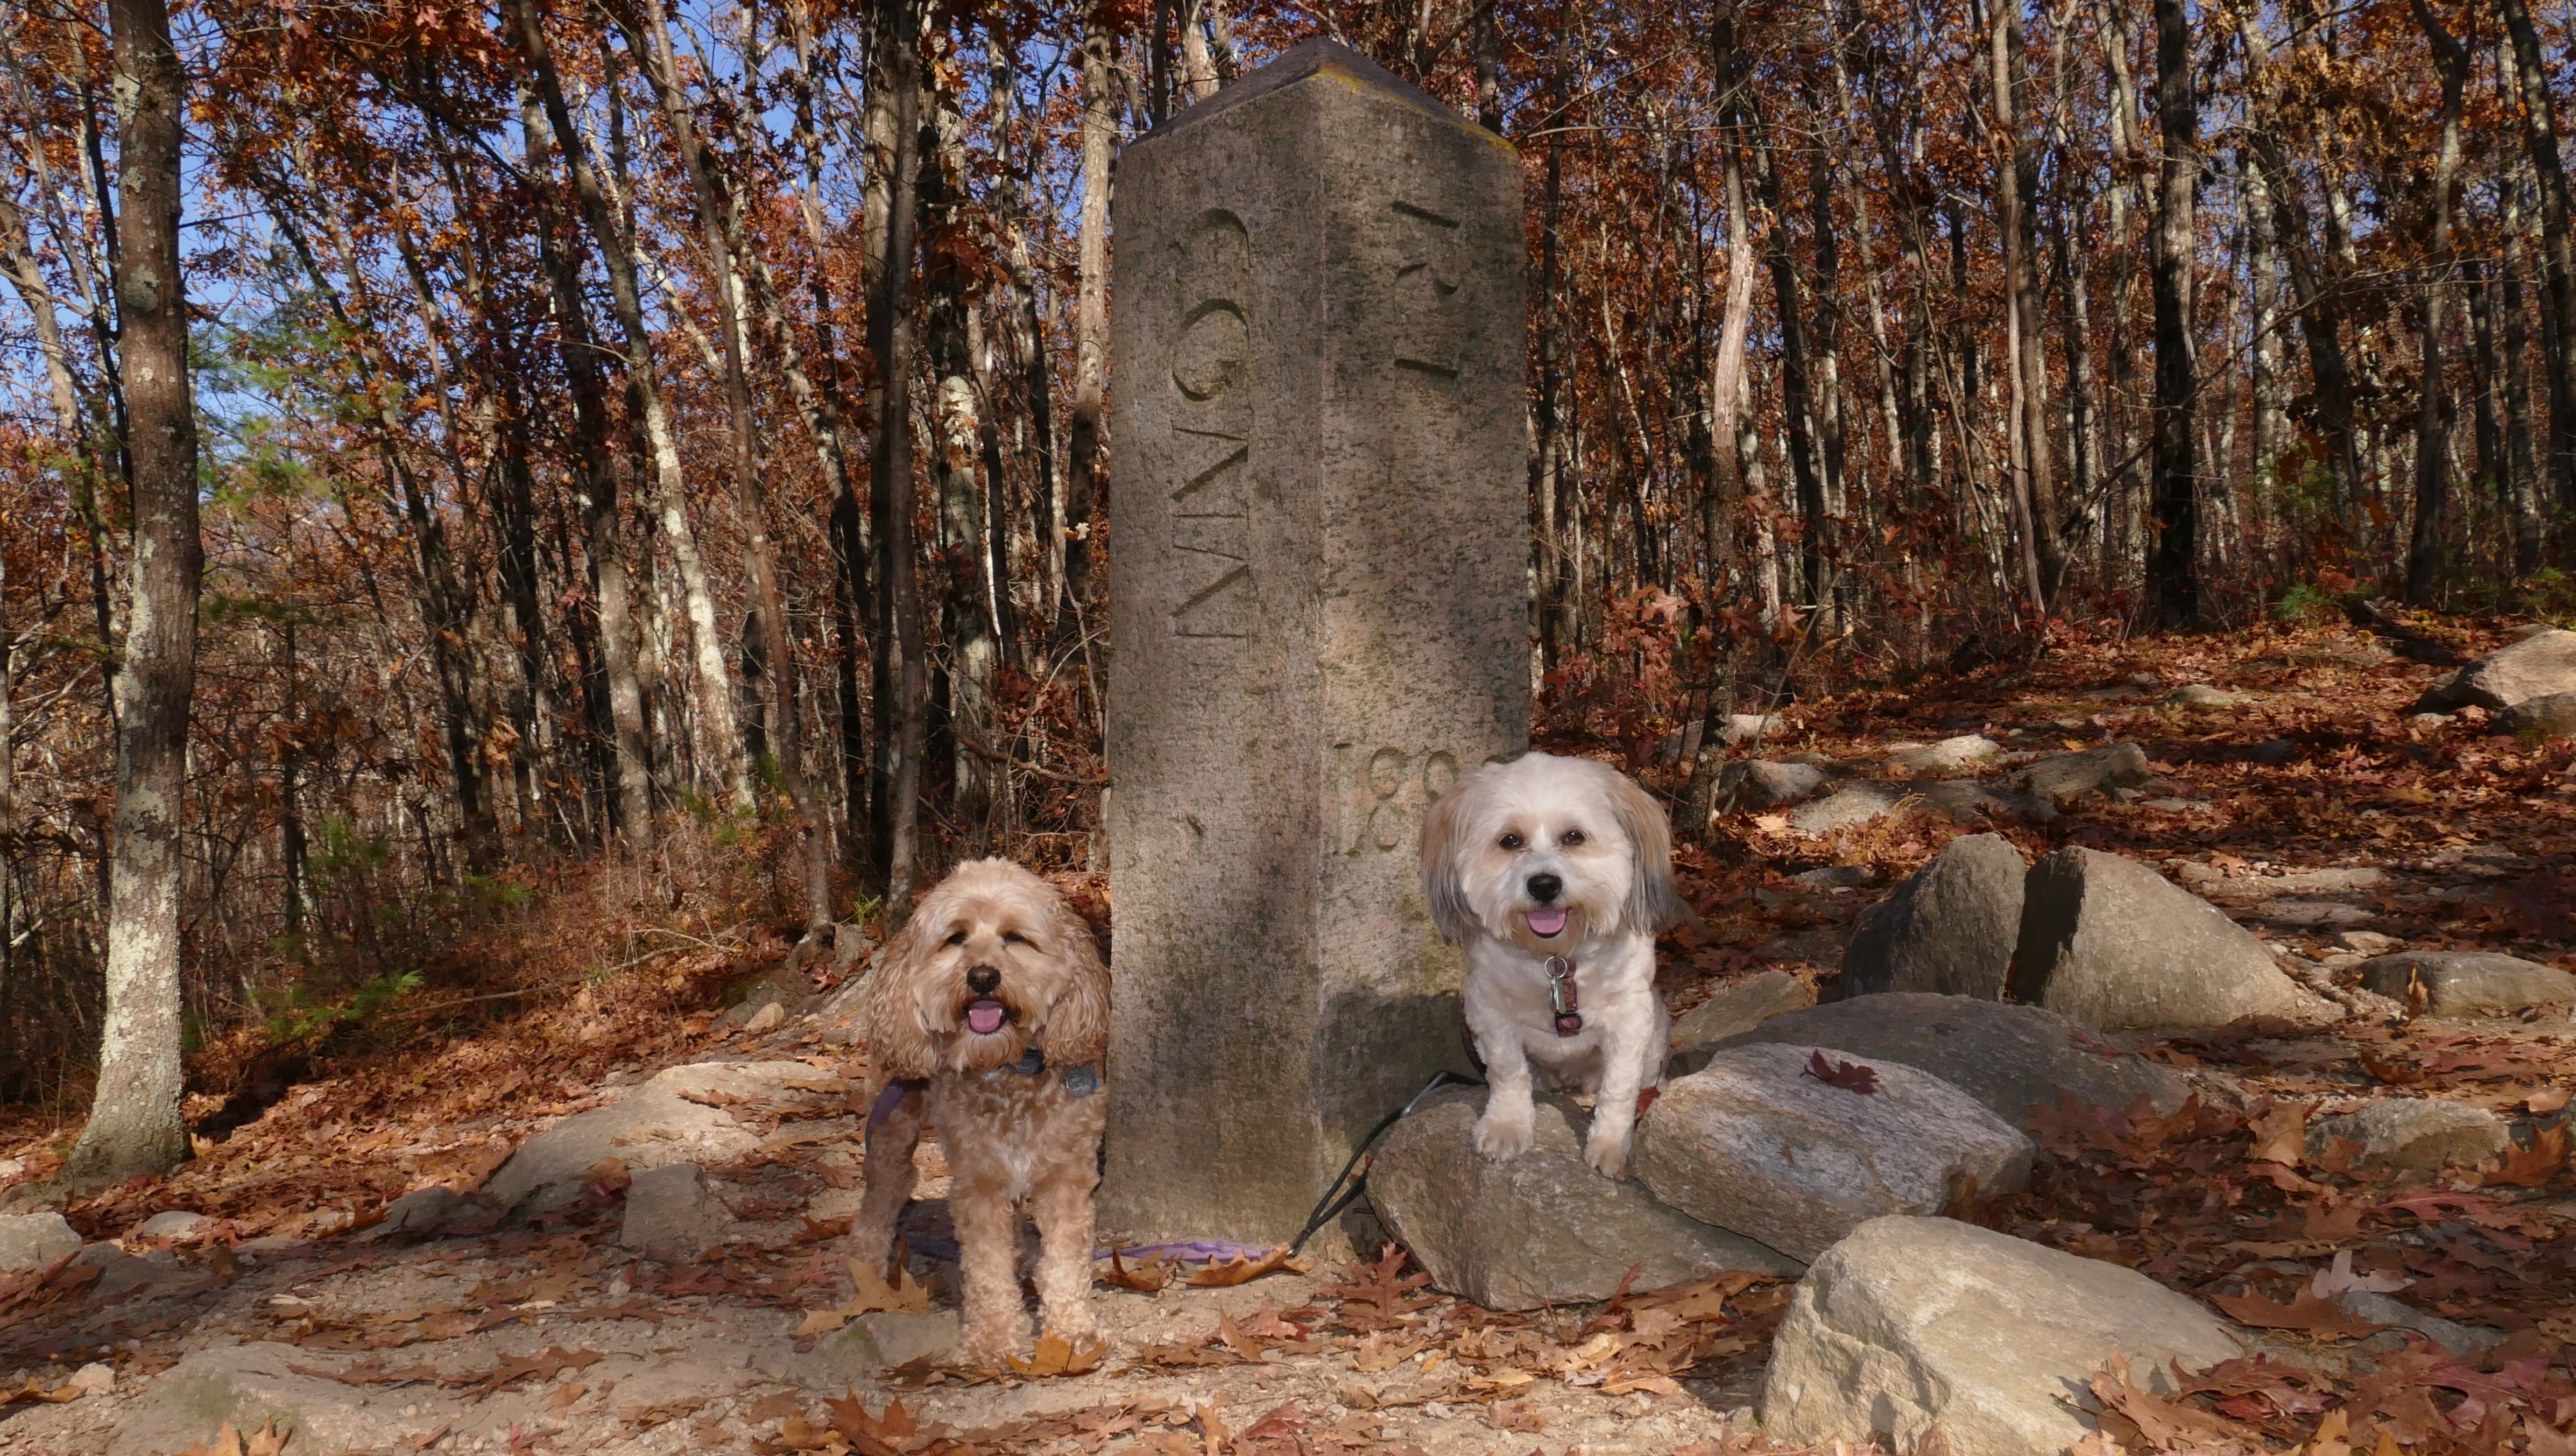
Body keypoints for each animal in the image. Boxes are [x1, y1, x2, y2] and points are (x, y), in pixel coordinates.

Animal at [851, 858, 1111, 1365]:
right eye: (956, 937)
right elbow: (987, 1266)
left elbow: (1064, 1260)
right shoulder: (978, 1182)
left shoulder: (1067, 1176)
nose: (983, 977)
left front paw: (1073, 1331)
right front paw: (993, 1338)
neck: (1009, 1069)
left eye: (1015, 936)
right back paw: (866, 1265)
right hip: (893, 1119)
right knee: (884, 1191)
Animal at [1420, 752, 1685, 1180]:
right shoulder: (1488, 1009)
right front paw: (1507, 1126)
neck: (1556, 960)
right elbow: (1508, 1072)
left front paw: (1610, 1145)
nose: (1544, 884)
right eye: (1510, 840)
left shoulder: (1630, 1018)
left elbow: (1619, 1089)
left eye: (1574, 837)